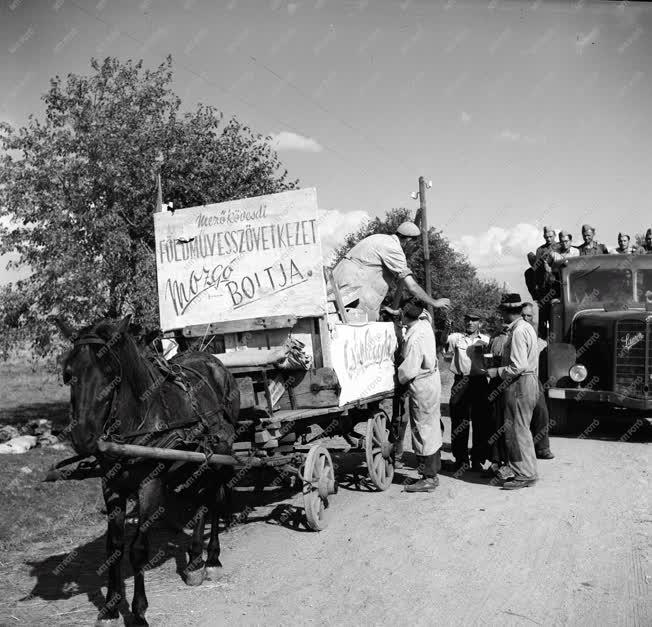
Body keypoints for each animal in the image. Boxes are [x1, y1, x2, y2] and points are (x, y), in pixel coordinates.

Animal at [59, 318, 239, 627]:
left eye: (111, 374)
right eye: (68, 374)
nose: (83, 437)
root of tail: (212, 359)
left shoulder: (150, 483)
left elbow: (138, 549)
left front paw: (139, 611)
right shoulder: (111, 484)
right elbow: (114, 547)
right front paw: (110, 608)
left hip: (220, 454)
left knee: (213, 501)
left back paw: (212, 559)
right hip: (194, 460)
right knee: (200, 502)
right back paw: (194, 561)